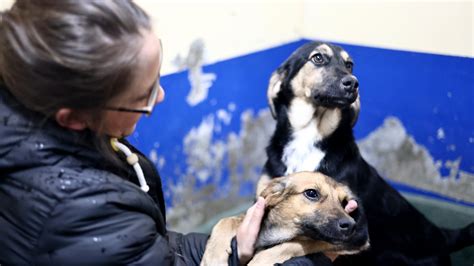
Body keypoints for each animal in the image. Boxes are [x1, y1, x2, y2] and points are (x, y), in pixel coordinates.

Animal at [200, 171, 370, 264]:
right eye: (312, 193)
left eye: (344, 202)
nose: (351, 225)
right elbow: (225, 220)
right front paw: (213, 258)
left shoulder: (356, 240)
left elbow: (294, 244)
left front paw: (259, 262)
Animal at [260, 40, 474, 264]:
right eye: (318, 58)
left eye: (349, 65)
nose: (353, 83)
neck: (309, 136)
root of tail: (442, 236)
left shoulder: (356, 230)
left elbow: (293, 243)